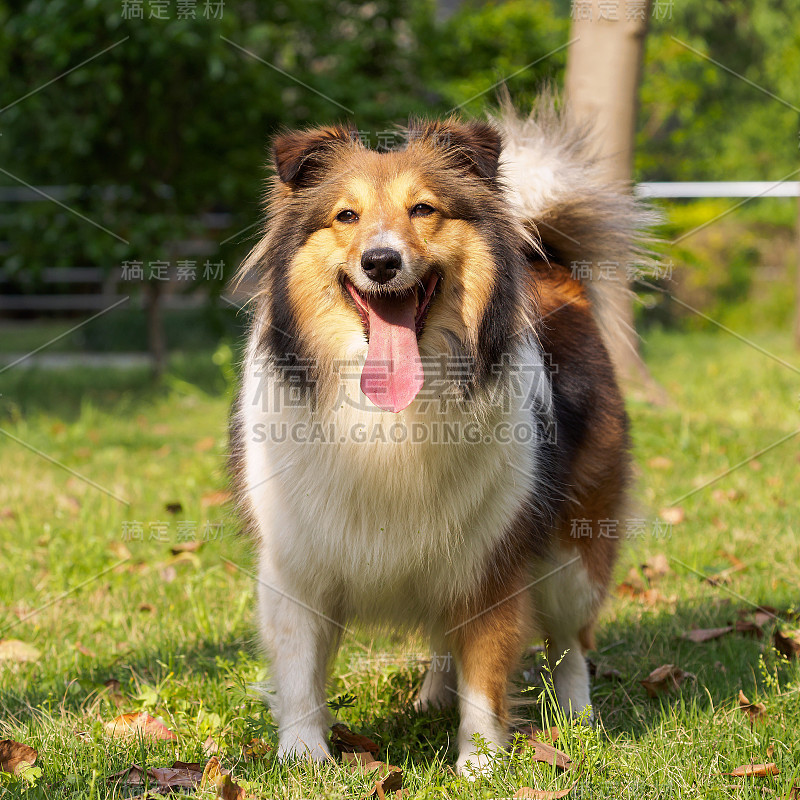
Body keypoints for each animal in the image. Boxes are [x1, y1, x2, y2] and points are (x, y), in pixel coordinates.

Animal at [228, 100, 648, 776]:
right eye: (346, 215)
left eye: (423, 209)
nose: (380, 261)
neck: (388, 417)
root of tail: (550, 265)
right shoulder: (297, 561)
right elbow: (298, 668)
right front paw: (303, 756)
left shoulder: (493, 557)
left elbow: (487, 670)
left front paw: (480, 764)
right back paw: (432, 696)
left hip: (571, 548)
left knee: (569, 639)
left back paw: (578, 718)